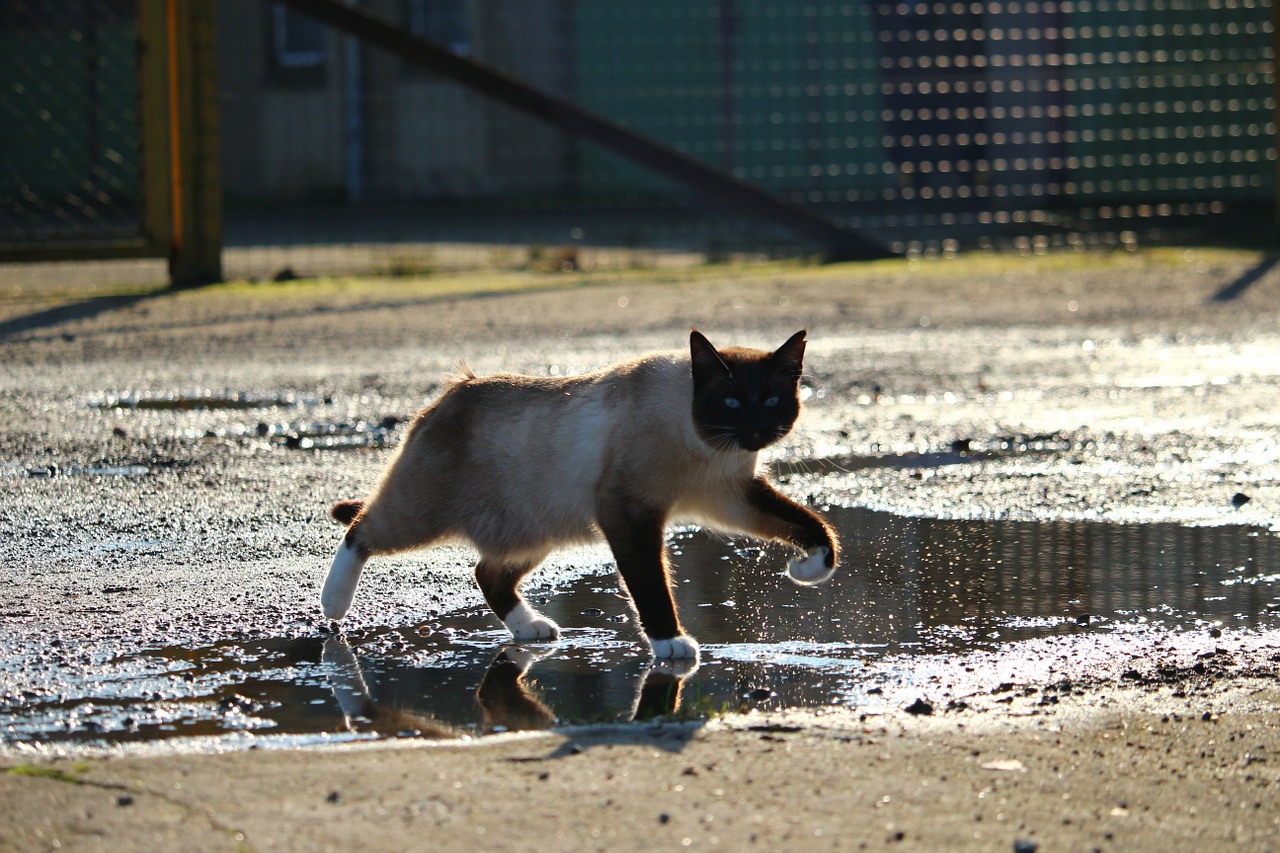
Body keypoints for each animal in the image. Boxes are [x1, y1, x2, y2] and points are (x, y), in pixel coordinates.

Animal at [325, 330, 834, 655]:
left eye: (772, 402)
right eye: (730, 402)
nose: (755, 432)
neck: (707, 450)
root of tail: (457, 386)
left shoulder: (730, 496)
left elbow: (815, 530)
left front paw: (805, 570)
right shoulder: (628, 513)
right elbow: (651, 586)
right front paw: (671, 643)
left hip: (533, 533)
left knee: (486, 574)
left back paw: (531, 628)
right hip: (420, 517)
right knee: (358, 532)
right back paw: (333, 605)